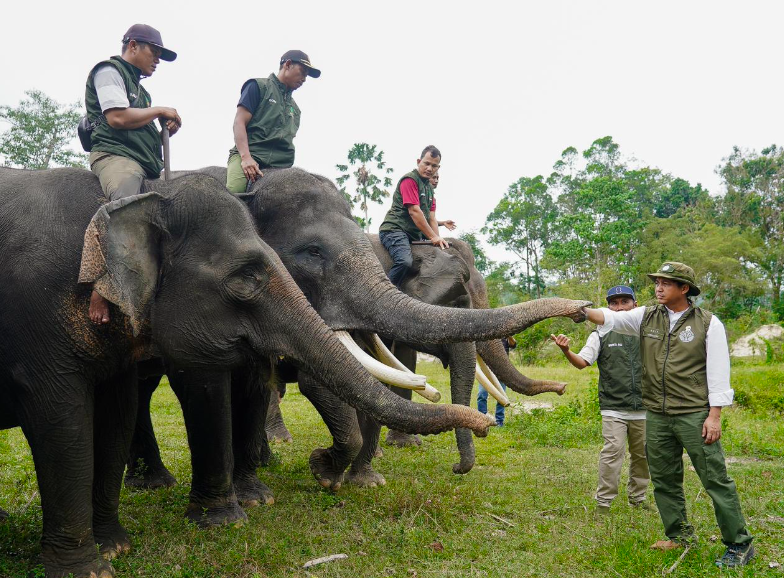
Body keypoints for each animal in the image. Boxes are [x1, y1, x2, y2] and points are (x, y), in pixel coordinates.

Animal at [0, 167, 495, 578]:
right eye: (312, 251)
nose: (487, 425)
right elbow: (212, 381)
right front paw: (236, 514)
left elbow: (261, 382)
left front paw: (271, 493)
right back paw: (155, 485)